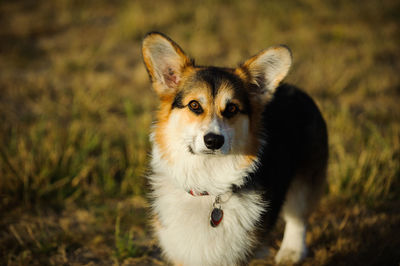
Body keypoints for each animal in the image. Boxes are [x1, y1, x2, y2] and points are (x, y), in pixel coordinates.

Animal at [141, 32, 328, 264]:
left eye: (231, 108)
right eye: (194, 105)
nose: (213, 140)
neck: (208, 185)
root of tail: (297, 90)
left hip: (305, 180)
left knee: (298, 217)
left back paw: (291, 252)